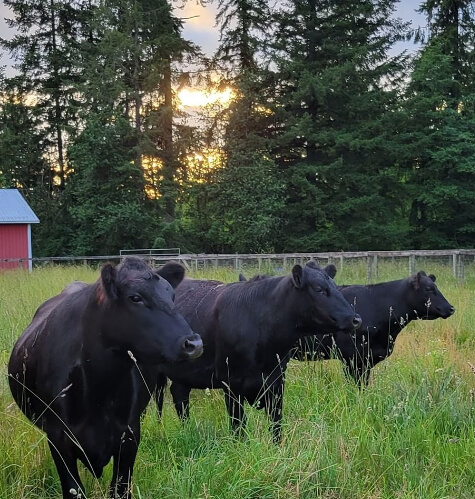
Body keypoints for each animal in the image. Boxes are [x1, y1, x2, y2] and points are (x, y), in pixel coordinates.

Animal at [7, 258, 203, 499]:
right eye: (135, 297)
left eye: (172, 295)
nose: (194, 343)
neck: (99, 390)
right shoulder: (58, 438)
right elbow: (74, 489)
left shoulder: (129, 435)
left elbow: (120, 488)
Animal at [155, 264, 360, 444]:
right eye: (318, 289)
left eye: (336, 287)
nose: (355, 319)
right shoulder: (231, 384)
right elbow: (238, 428)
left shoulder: (276, 383)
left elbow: (276, 426)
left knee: (179, 394)